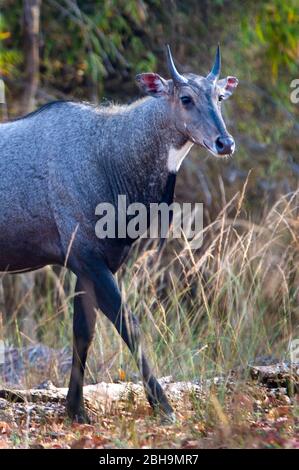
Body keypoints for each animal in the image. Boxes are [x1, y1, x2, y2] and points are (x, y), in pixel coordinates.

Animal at [0, 46, 239, 422]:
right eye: (185, 98)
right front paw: (164, 407)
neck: (111, 157)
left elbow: (83, 333)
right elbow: (129, 325)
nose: (225, 142)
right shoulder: (87, 258)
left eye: (218, 96)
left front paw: (76, 410)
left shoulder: (90, 264)